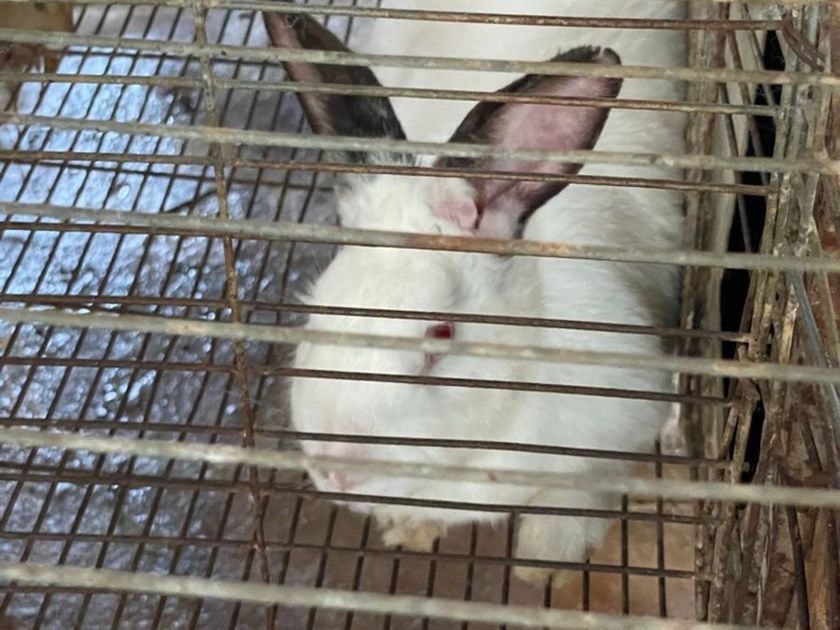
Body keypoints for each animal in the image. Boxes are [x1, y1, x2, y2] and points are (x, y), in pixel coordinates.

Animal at [263, 0, 687, 586]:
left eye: (440, 334)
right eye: (316, 313)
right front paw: (408, 529)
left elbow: (583, 489)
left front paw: (543, 558)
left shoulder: (622, 424)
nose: (338, 470)